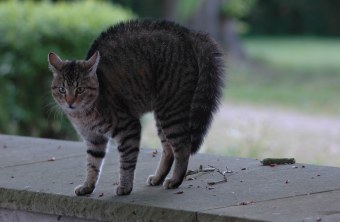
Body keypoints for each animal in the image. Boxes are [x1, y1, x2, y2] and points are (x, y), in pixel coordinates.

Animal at [46, 19, 224, 196]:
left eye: (80, 89)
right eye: (62, 89)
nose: (70, 101)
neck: (83, 116)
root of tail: (188, 33)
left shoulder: (128, 127)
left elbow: (127, 161)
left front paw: (125, 186)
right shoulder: (93, 139)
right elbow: (92, 164)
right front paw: (88, 186)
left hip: (171, 111)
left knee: (182, 146)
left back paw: (175, 180)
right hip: (162, 116)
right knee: (168, 149)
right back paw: (158, 177)